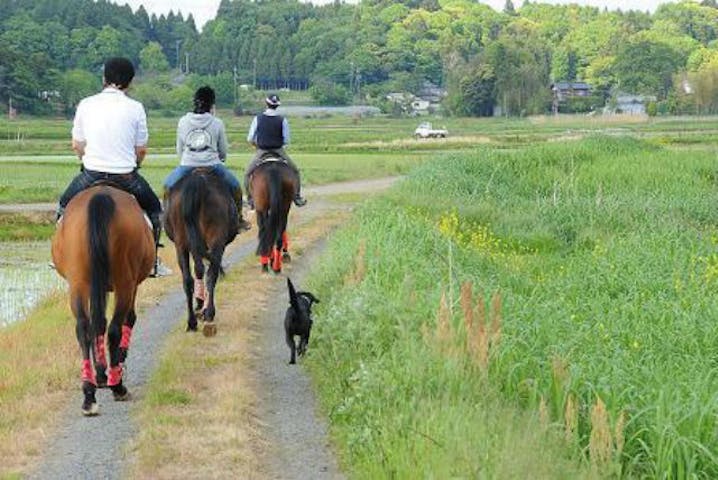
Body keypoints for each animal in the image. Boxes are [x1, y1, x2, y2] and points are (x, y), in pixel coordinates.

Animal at [52, 186, 156, 414]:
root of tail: (100, 196)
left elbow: (96, 323)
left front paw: (101, 373)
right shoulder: (132, 285)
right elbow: (129, 319)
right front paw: (117, 362)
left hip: (78, 282)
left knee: (84, 327)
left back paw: (89, 394)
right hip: (124, 281)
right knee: (115, 328)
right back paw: (118, 386)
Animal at [164, 169, 240, 338]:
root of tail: (198, 182)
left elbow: (197, 271)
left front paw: (199, 304)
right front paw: (202, 305)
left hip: (181, 244)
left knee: (188, 279)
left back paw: (192, 322)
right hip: (215, 239)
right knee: (211, 274)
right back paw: (209, 312)